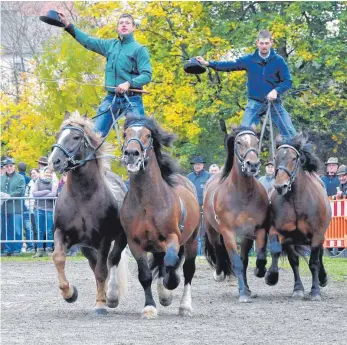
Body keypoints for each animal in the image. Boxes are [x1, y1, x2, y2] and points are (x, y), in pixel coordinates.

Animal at [49, 111, 129, 314]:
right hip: (86, 246)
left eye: (76, 137)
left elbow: (103, 269)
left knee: (112, 261)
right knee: (96, 265)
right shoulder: (61, 232)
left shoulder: (104, 239)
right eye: (58, 135)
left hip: (120, 239)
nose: (54, 161)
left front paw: (101, 304)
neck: (82, 197)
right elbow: (58, 258)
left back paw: (111, 296)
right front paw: (69, 293)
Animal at [121, 115, 201, 318]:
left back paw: (185, 306)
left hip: (192, 240)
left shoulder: (173, 237)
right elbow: (145, 275)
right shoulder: (135, 243)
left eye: (148, 135)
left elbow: (171, 264)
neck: (147, 204)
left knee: (187, 269)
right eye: (126, 134)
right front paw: (150, 307)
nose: (131, 153)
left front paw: (168, 289)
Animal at [204, 125, 272, 300]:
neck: (242, 195)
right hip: (212, 230)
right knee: (218, 249)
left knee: (244, 259)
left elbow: (259, 256)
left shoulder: (257, 229)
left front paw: (259, 271)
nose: (252, 164)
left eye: (256, 141)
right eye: (239, 142)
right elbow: (236, 262)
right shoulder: (228, 233)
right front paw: (243, 294)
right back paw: (220, 274)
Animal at [268, 133, 334, 300]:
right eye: (276, 157)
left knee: (320, 255)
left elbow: (314, 262)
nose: (280, 186)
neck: (296, 202)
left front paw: (315, 291)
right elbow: (289, 259)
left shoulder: (317, 234)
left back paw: (322, 278)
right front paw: (294, 287)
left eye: (293, 158)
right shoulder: (284, 234)